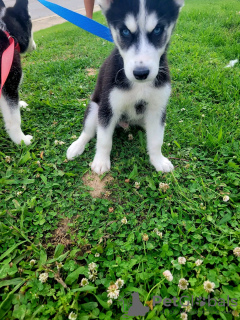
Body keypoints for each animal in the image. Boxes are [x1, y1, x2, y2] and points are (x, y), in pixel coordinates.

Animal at [67, 0, 184, 175]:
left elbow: (156, 140)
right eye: (125, 31)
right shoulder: (108, 108)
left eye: (157, 29)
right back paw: (77, 146)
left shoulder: (157, 109)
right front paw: (101, 161)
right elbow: (104, 140)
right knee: (88, 131)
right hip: (95, 108)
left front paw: (158, 160)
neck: (139, 86)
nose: (141, 73)